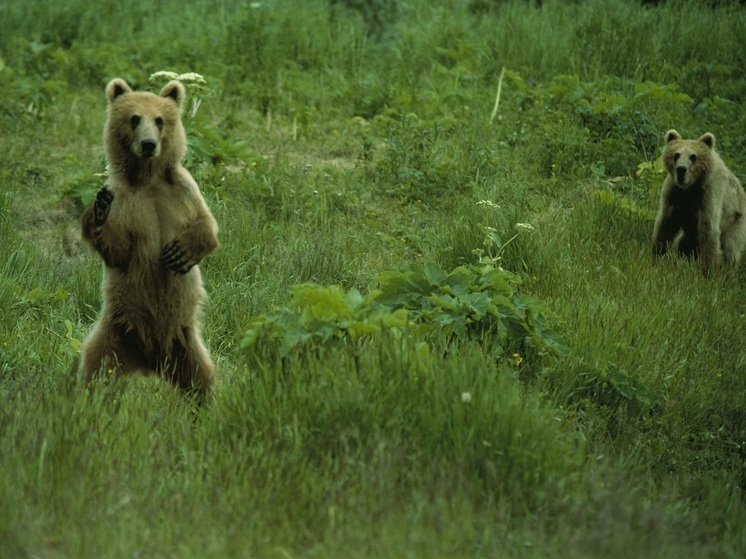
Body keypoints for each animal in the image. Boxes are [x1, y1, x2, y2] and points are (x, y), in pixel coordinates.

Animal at [82, 77, 221, 402]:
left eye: (159, 120)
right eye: (134, 118)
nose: (148, 144)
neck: (148, 179)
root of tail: (151, 361)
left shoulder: (182, 190)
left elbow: (207, 226)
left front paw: (180, 253)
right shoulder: (125, 201)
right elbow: (119, 249)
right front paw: (98, 211)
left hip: (186, 342)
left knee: (201, 378)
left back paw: (205, 405)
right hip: (115, 332)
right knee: (93, 369)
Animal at [648, 129, 744, 274]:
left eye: (693, 156)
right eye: (676, 155)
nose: (681, 169)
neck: (690, 187)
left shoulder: (710, 193)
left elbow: (708, 228)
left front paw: (709, 271)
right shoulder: (674, 192)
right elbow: (666, 222)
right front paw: (657, 254)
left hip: (735, 221)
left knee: (730, 248)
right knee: (683, 244)